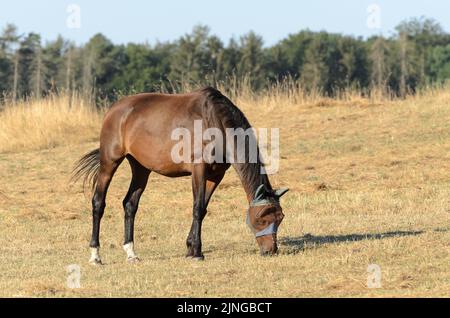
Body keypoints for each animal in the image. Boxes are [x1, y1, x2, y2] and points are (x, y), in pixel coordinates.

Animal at [70, 87, 288, 264]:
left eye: (280, 219)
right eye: (261, 219)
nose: (271, 251)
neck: (214, 121)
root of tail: (114, 109)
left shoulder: (216, 175)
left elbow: (203, 209)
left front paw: (190, 248)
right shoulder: (199, 170)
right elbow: (197, 208)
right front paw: (197, 252)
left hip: (141, 168)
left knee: (130, 205)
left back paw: (131, 253)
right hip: (110, 162)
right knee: (98, 203)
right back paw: (95, 255)